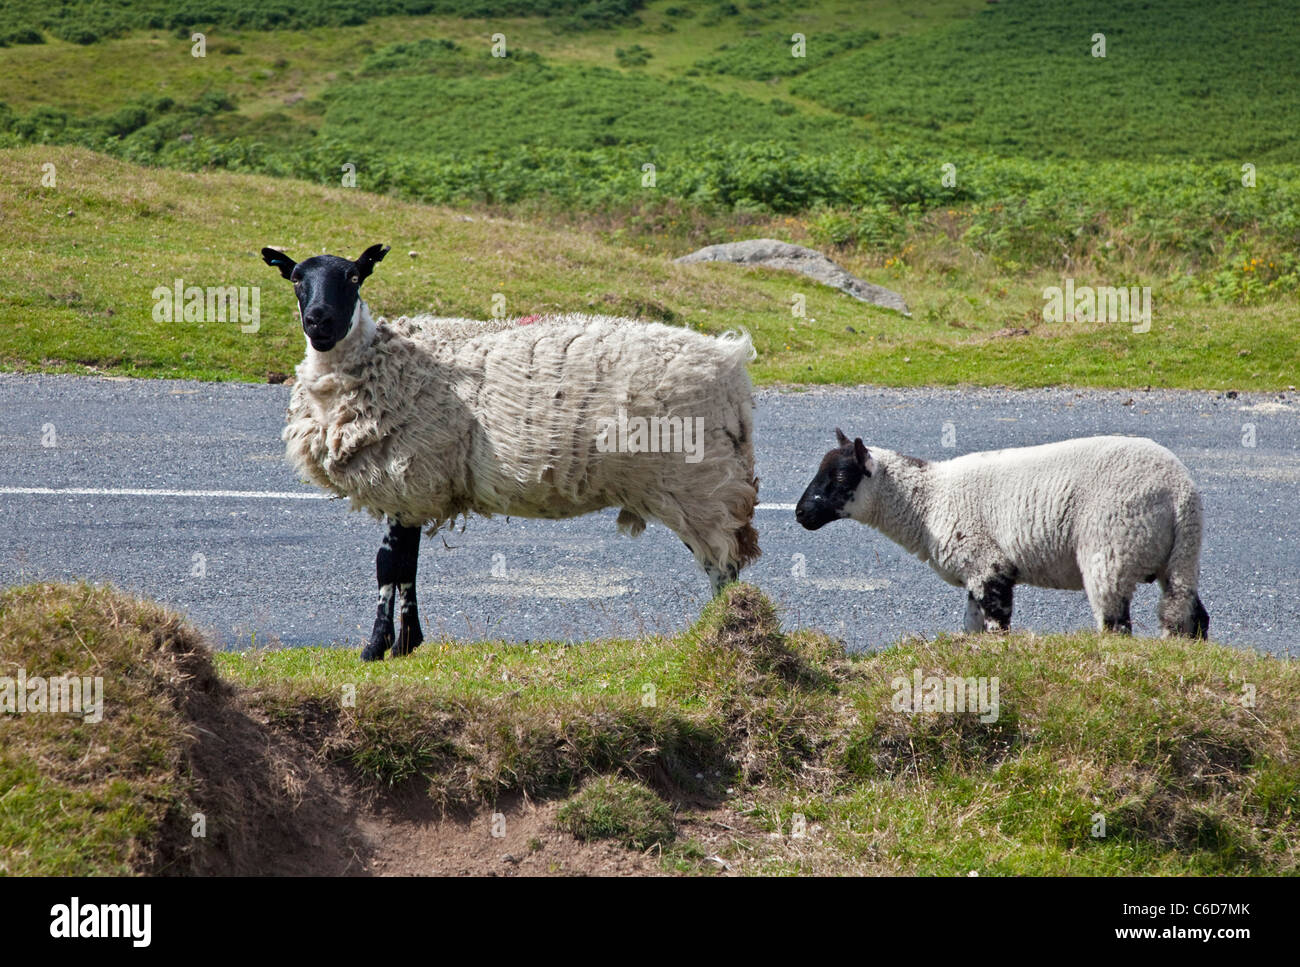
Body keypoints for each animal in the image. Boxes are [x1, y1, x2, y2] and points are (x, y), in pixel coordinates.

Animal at [262, 245, 759, 660]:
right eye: (296, 278)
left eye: (353, 276)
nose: (319, 322)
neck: (372, 360)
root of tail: (728, 363)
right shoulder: (417, 489)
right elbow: (407, 568)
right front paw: (406, 644)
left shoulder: (406, 478)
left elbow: (389, 567)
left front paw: (376, 648)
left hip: (698, 483)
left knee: (722, 564)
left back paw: (723, 631)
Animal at [790, 434, 1206, 639]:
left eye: (840, 477)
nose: (800, 514)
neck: (927, 501)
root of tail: (1181, 492)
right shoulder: (974, 573)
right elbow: (971, 626)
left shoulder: (989, 567)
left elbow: (996, 629)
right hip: (1176, 559)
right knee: (1190, 615)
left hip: (1112, 550)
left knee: (1116, 625)